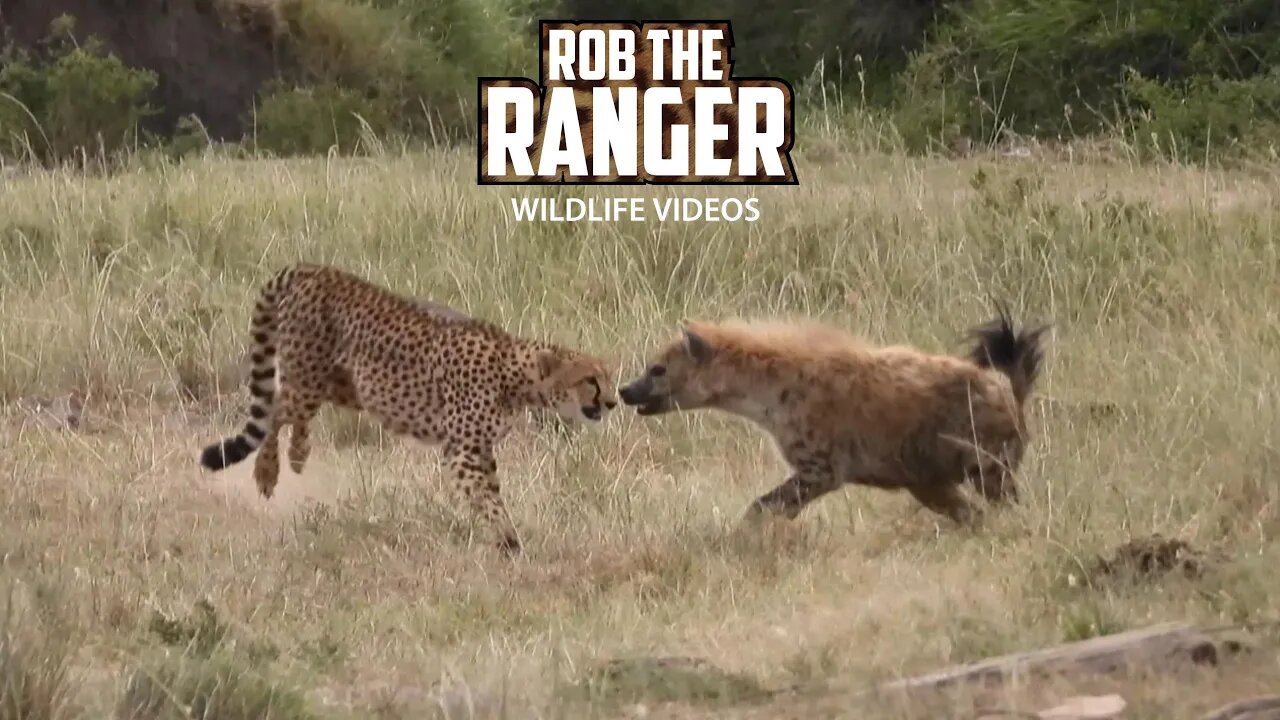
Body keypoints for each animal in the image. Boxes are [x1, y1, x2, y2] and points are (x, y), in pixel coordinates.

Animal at [195, 263, 619, 548]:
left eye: (609, 378)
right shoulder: (463, 450)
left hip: (343, 385)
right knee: (275, 410)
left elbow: (491, 491)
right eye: (590, 380)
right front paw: (508, 540)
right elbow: (488, 498)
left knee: (287, 410)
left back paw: (298, 454)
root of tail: (315, 268)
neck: (518, 376)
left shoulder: (481, 450)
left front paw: (506, 537)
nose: (614, 401)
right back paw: (267, 473)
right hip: (309, 379)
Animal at [619, 310, 1049, 527]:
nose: (624, 390)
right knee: (969, 511)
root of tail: (1010, 391)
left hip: (983, 460)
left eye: (656, 369)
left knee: (1002, 500)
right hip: (925, 479)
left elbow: (764, 505)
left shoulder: (821, 469)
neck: (767, 392)